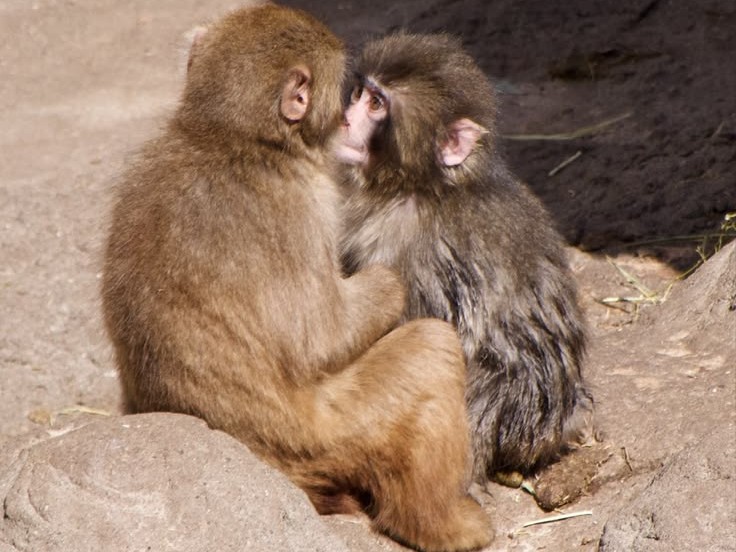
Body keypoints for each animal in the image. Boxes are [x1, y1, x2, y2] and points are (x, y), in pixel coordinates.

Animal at [101, 7, 491, 551]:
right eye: (346, 93)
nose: (347, 120)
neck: (229, 138)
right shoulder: (304, 206)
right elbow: (321, 338)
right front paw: (390, 281)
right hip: (326, 438)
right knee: (430, 352)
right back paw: (441, 525)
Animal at [334, 32, 595, 483]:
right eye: (360, 93)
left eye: (376, 104)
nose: (346, 119)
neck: (422, 186)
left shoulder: (416, 248)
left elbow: (426, 332)